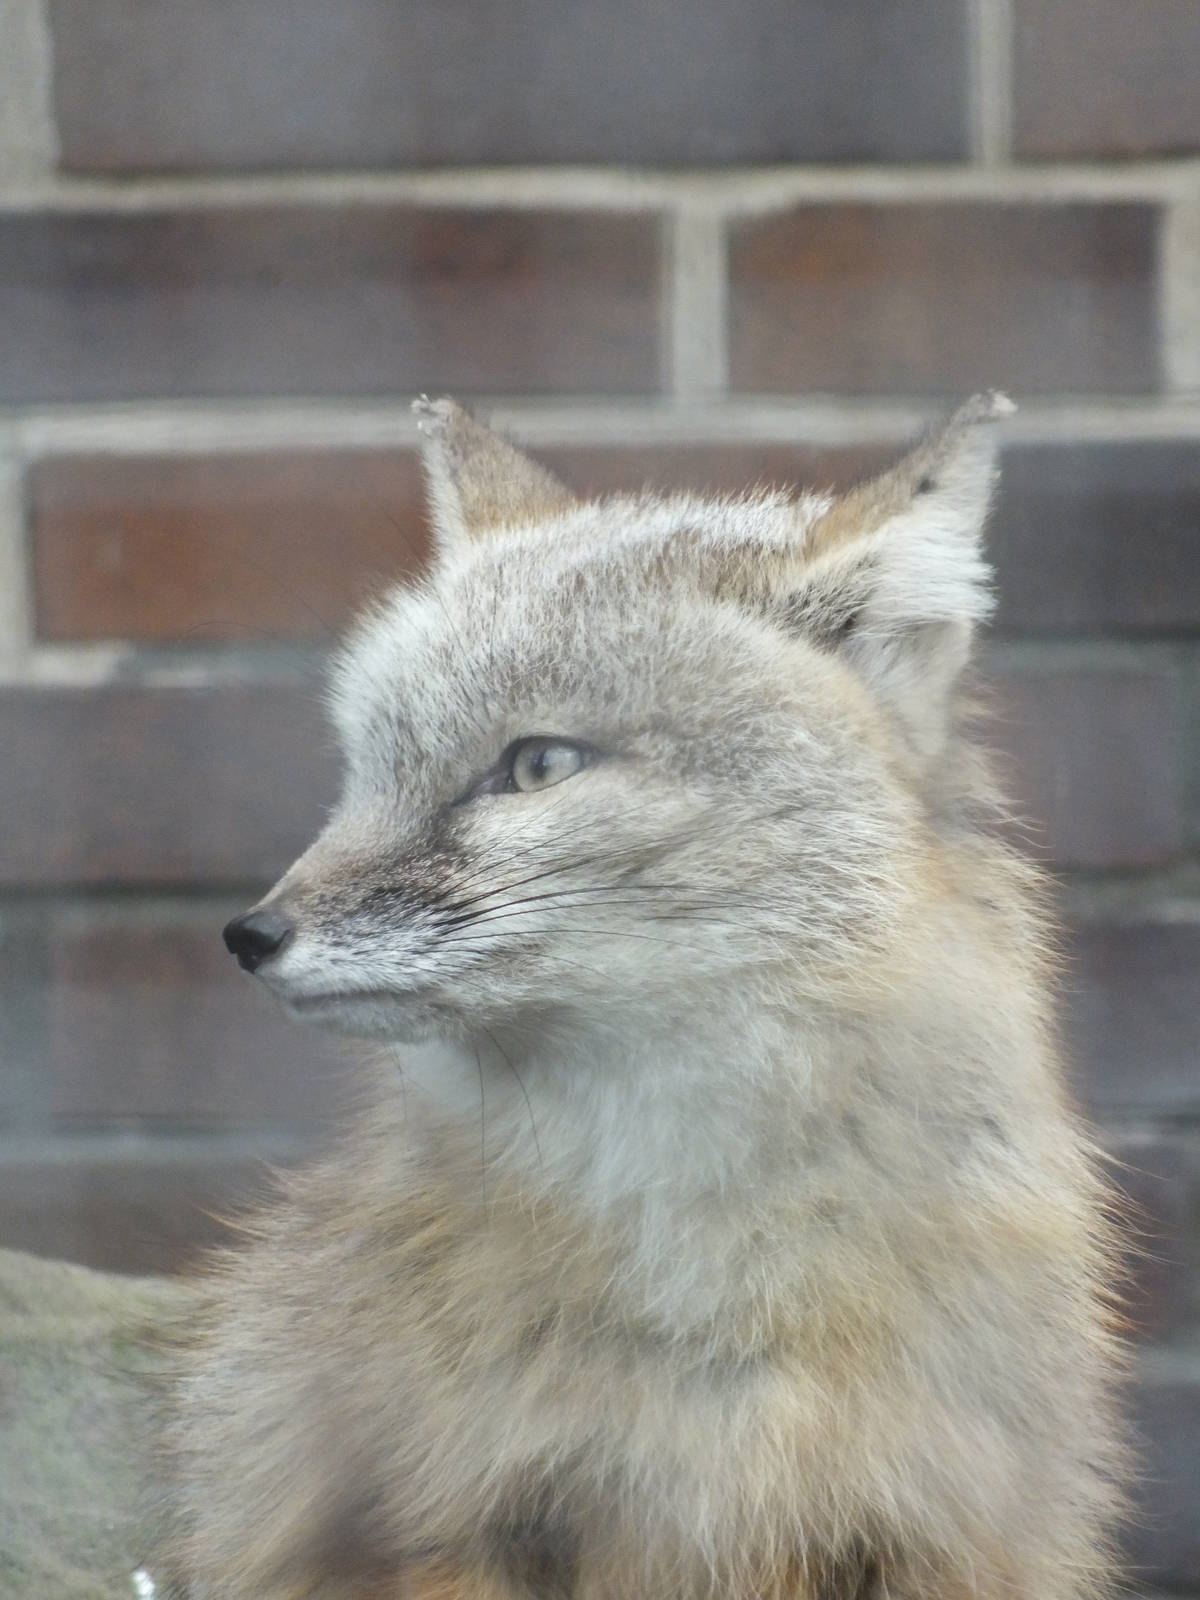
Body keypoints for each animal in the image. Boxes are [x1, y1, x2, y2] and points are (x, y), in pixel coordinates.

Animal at [155, 394, 1126, 1599]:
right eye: (363, 776)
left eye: (536, 766)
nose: (251, 936)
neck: (710, 1282)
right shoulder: (452, 1515)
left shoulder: (945, 1525)